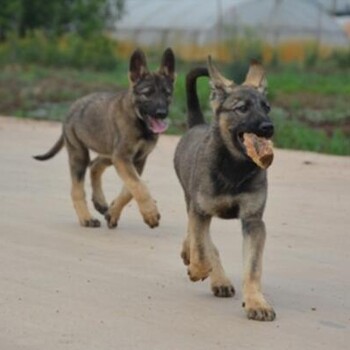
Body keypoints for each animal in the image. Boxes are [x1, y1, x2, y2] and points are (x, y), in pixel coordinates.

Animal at [34, 49, 175, 230]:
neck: (139, 121)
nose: (161, 113)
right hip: (80, 155)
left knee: (95, 165)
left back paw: (100, 202)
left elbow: (130, 189)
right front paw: (150, 213)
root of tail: (73, 107)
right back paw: (86, 218)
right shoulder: (123, 158)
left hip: (109, 154)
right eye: (147, 94)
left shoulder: (136, 160)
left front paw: (113, 212)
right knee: (77, 189)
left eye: (167, 93)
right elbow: (138, 186)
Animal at [174, 58, 276, 322]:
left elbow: (253, 267)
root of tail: (197, 125)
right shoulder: (201, 211)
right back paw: (210, 273)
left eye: (267, 107)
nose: (268, 127)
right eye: (242, 108)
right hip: (192, 200)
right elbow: (202, 248)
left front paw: (256, 303)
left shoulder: (253, 221)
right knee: (199, 237)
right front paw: (198, 269)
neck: (234, 167)